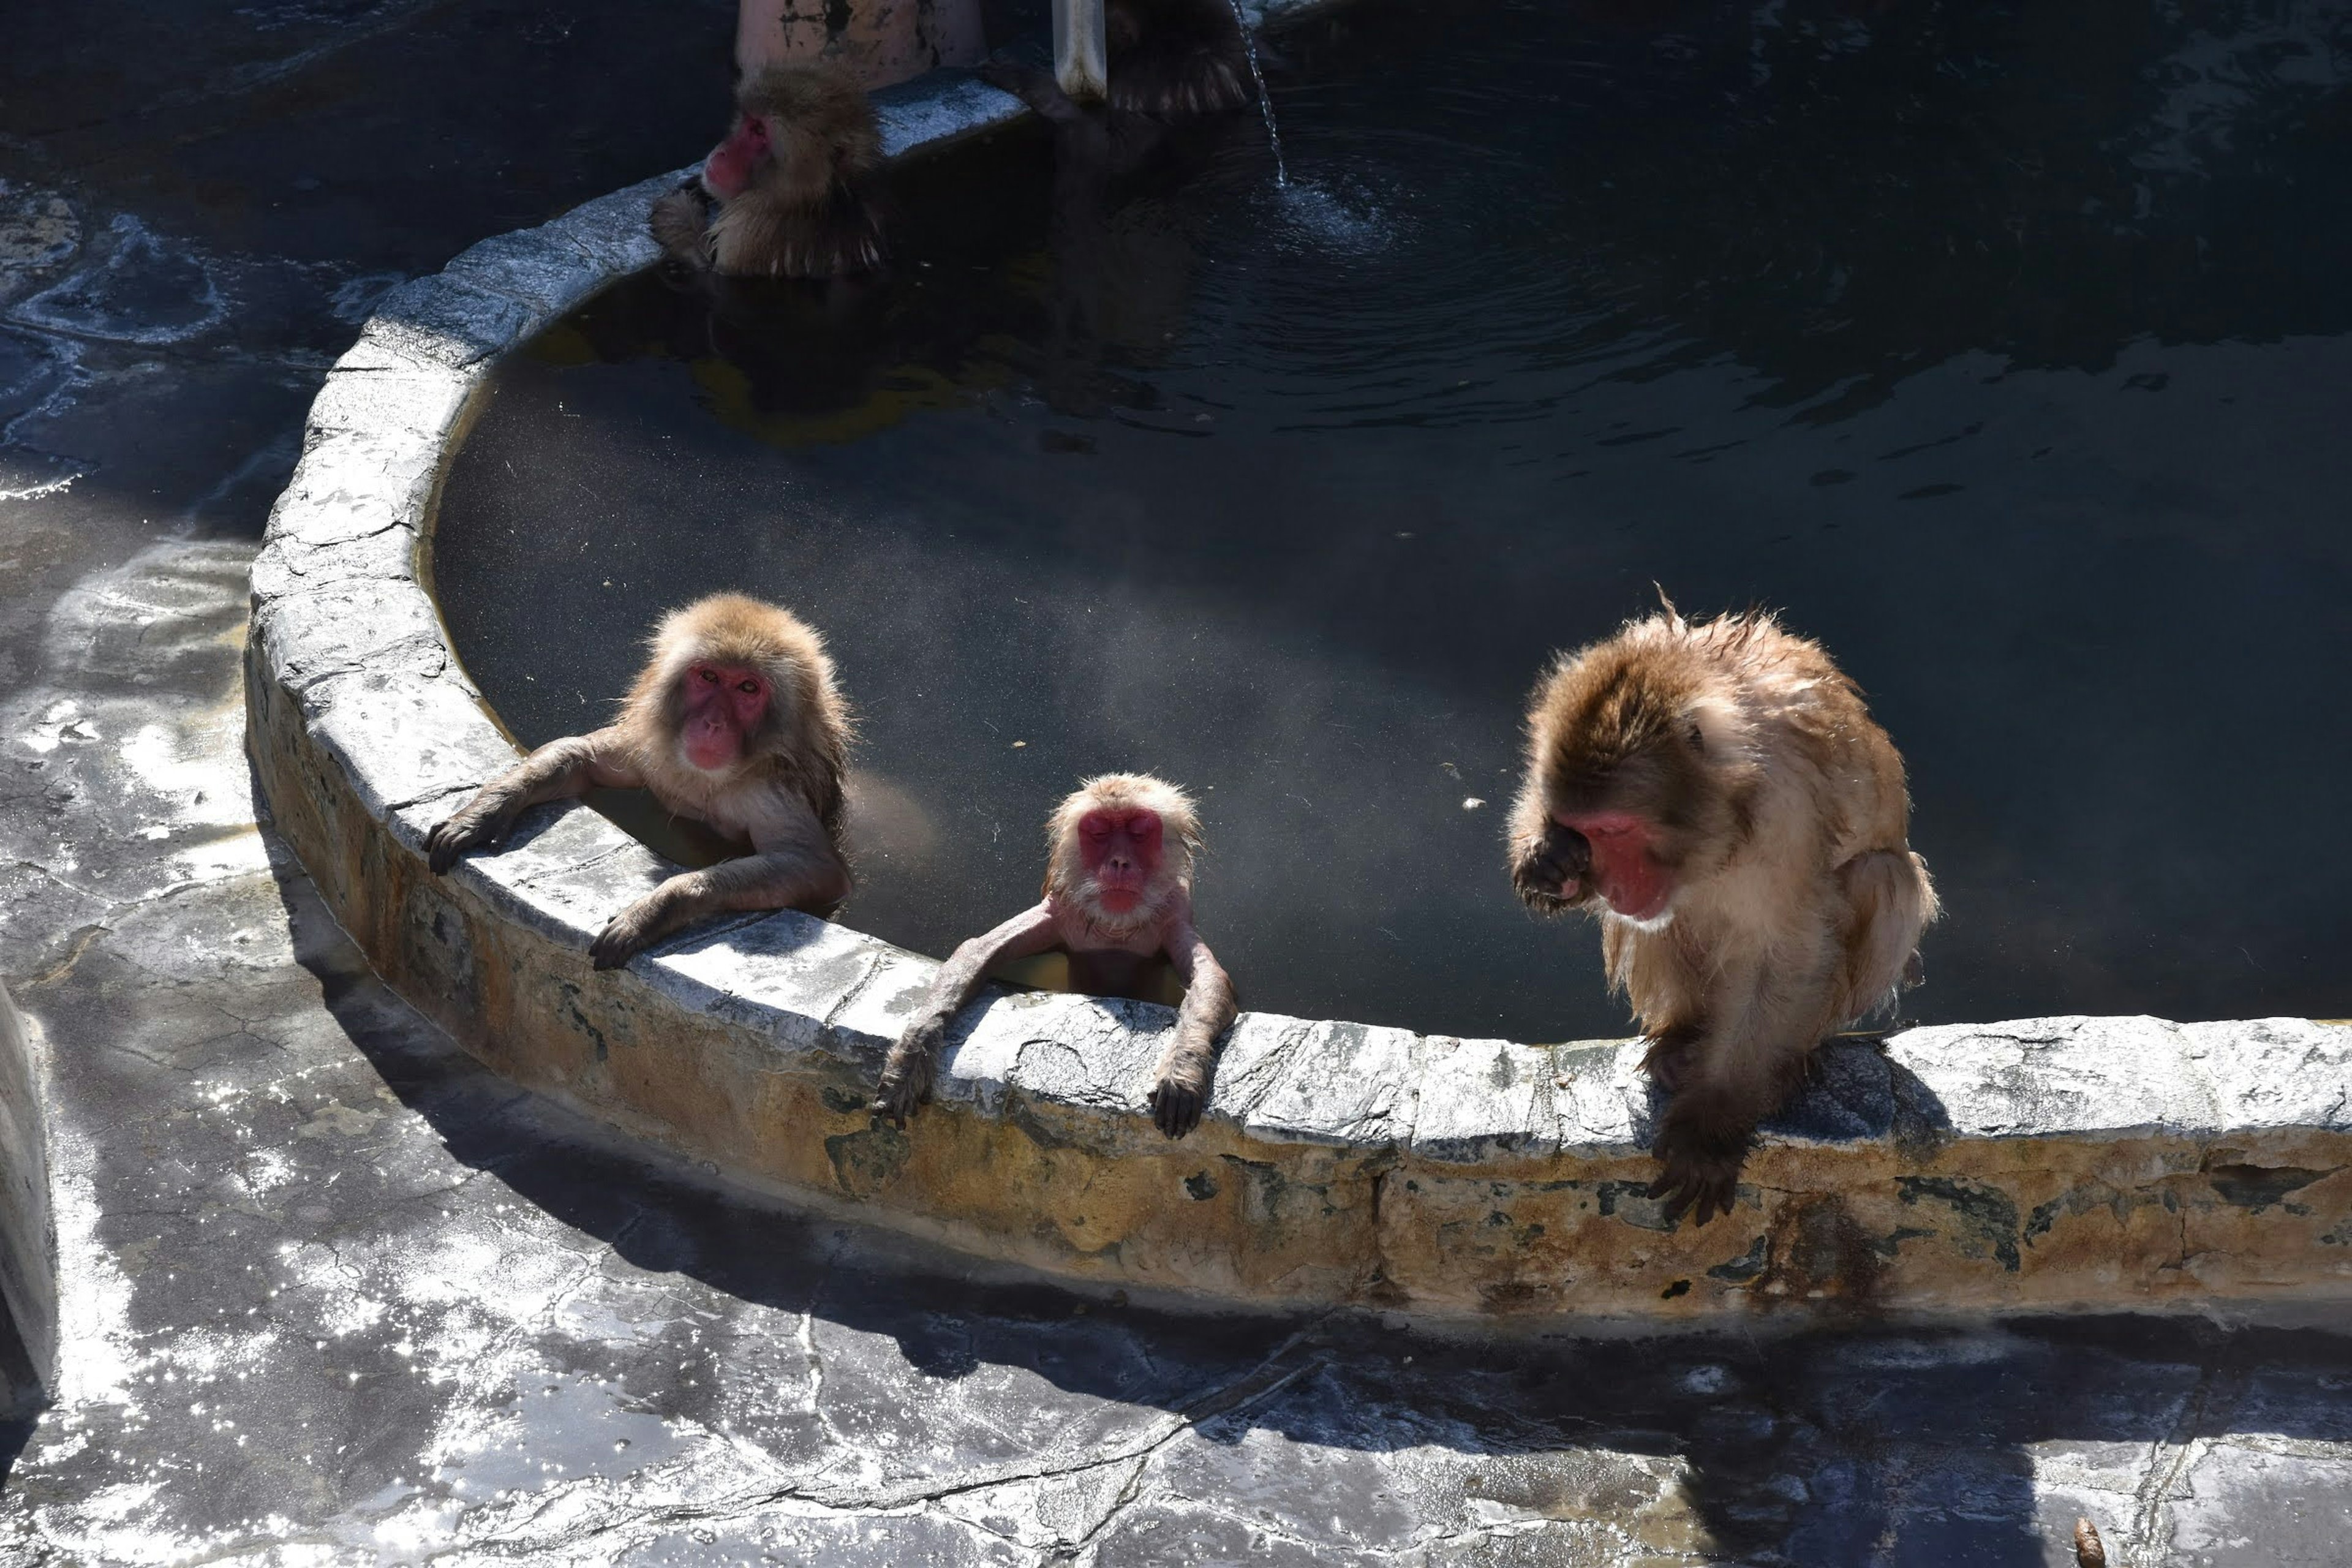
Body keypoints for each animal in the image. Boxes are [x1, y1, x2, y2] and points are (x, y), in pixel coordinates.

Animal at [428, 595, 851, 968]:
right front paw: (482, 815)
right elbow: (580, 755)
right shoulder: (651, 749)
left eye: (748, 688)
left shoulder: (770, 792)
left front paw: (657, 908)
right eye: (709, 677)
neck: (708, 778)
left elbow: (816, 868)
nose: (713, 724)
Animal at [649, 60, 884, 278]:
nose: (722, 152)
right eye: (750, 122)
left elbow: (711, 269)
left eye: (760, 131)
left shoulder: (747, 230)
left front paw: (676, 206)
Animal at [875, 771, 1242, 1142]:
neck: (1115, 927)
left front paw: (1183, 1066)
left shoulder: (1173, 915)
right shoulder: (1061, 911)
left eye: (1139, 832)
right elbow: (976, 951)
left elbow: (1212, 980)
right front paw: (912, 1054)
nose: (1120, 862)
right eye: (1099, 832)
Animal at [1514, 606, 1938, 1232]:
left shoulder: (1788, 810)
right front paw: (1545, 857)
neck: (1726, 805)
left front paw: (1709, 1127)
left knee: (1881, 878)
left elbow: (1788, 952)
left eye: (1617, 829)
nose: (1612, 886)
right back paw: (1683, 1036)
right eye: (1584, 830)